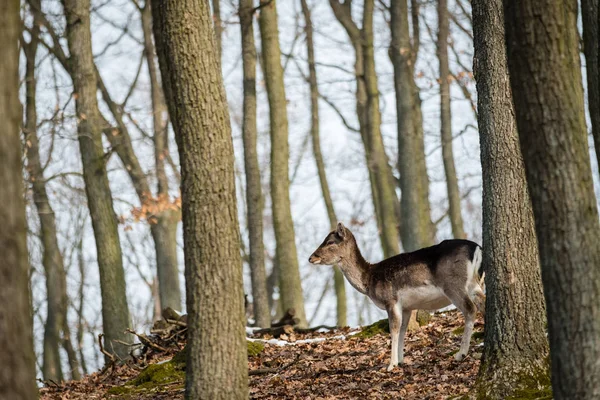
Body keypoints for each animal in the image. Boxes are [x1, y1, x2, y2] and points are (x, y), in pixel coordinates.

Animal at [308, 223, 486, 370]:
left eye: (330, 242)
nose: (311, 257)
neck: (369, 280)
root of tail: (477, 248)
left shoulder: (391, 300)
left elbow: (393, 329)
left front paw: (391, 364)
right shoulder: (406, 307)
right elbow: (402, 330)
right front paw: (400, 360)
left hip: (453, 285)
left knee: (470, 309)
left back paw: (460, 353)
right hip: (475, 284)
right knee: (484, 304)